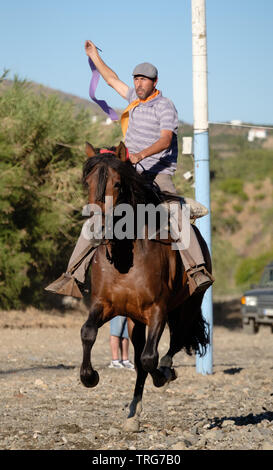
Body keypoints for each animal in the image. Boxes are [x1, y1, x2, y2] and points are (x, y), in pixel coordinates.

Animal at [78, 141, 210, 432]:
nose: (96, 227)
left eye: (117, 184)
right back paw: (133, 411)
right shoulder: (104, 305)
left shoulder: (157, 310)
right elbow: (88, 332)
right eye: (87, 182)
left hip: (187, 307)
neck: (124, 257)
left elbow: (151, 357)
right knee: (139, 360)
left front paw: (162, 376)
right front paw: (89, 376)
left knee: (175, 341)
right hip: (134, 321)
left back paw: (167, 370)